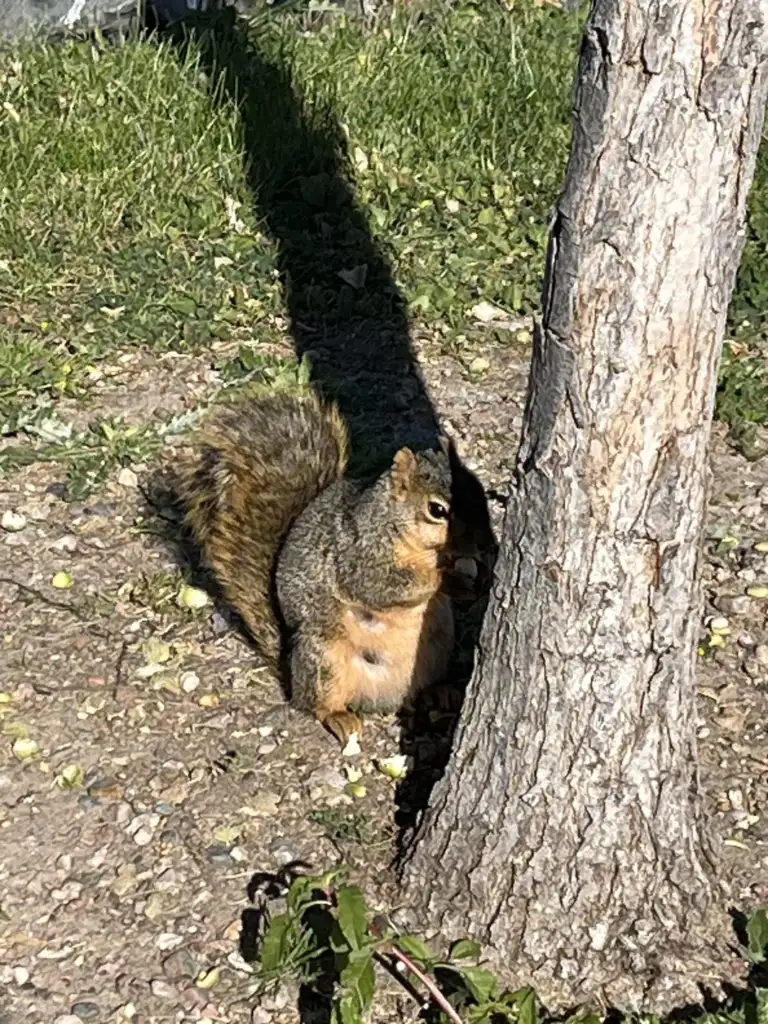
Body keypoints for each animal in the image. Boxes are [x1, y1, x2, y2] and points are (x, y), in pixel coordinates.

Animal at [180, 391, 489, 745]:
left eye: (479, 490)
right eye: (437, 510)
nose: (484, 541)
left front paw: (479, 576)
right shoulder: (357, 555)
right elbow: (385, 585)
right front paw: (452, 580)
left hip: (437, 647)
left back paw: (441, 691)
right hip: (325, 658)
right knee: (315, 704)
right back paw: (340, 717)